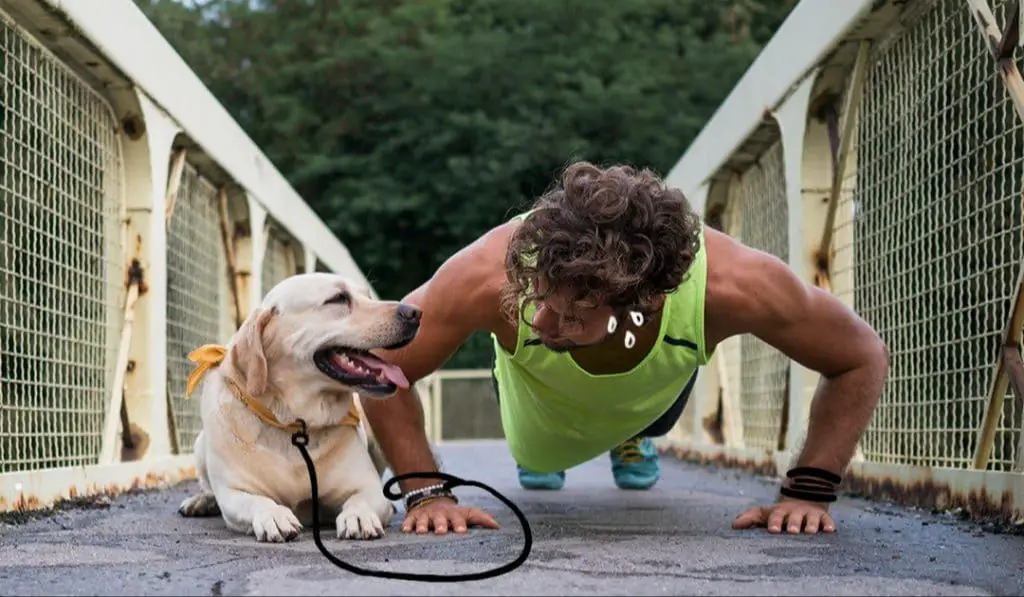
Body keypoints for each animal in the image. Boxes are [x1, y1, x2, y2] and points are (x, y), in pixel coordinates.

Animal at [177, 272, 419, 544]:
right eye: (338, 298)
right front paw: (274, 515)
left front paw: (359, 515)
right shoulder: (235, 493)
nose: (414, 312)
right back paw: (202, 501)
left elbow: (360, 499)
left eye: (367, 296)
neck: (295, 419)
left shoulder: (368, 487)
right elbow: (257, 501)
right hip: (200, 446)